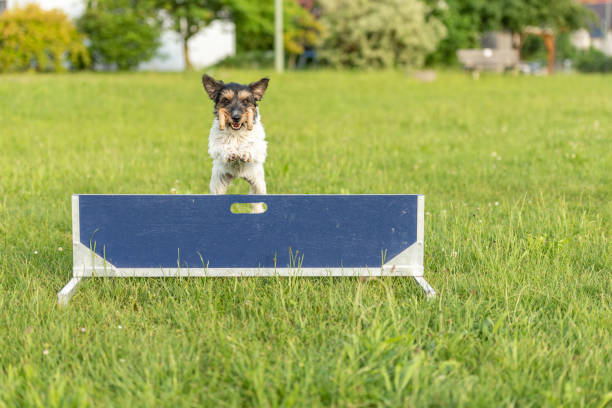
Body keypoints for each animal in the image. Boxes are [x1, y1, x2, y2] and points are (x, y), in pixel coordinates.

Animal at [202, 74, 268, 214]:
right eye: (226, 100)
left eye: (246, 101)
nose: (236, 117)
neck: (236, 133)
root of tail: (238, 176)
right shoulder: (215, 145)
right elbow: (222, 147)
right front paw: (231, 153)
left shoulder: (261, 146)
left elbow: (251, 146)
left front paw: (245, 152)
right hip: (217, 184)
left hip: (258, 184)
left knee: (257, 202)